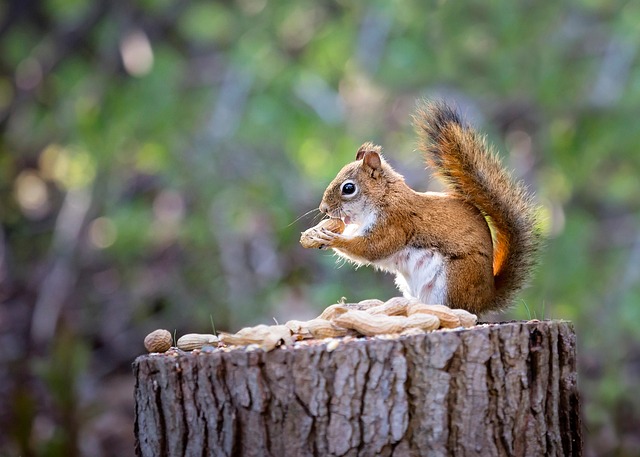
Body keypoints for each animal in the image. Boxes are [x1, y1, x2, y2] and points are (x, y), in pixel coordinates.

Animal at [306, 101, 541, 314]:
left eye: (348, 188)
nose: (323, 209)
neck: (384, 197)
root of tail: (485, 298)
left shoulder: (395, 222)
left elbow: (373, 248)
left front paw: (332, 239)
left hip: (454, 278)